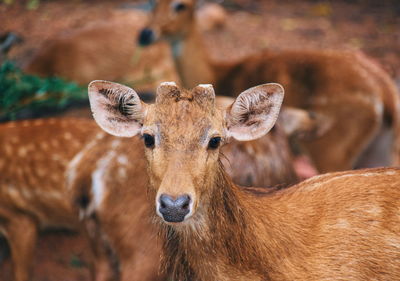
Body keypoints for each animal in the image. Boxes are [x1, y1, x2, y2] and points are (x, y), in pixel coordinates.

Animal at [138, 0, 400, 172]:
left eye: (180, 5)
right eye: (152, 4)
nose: (145, 34)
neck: (220, 72)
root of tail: (385, 94)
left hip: (330, 148)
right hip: (377, 149)